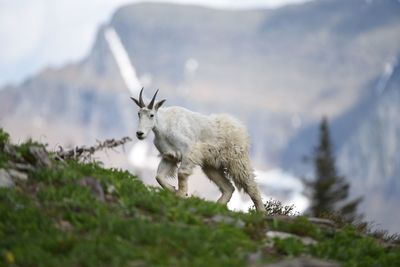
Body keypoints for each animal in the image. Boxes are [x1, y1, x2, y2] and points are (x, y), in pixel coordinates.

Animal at [130, 89, 266, 213]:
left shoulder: (189, 150)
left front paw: (181, 194)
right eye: (138, 114)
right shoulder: (170, 156)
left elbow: (181, 173)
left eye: (151, 115)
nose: (139, 133)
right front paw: (174, 190)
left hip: (236, 160)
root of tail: (241, 131)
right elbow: (159, 176)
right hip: (211, 166)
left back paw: (261, 212)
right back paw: (217, 206)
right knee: (228, 187)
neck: (164, 126)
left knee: (250, 185)